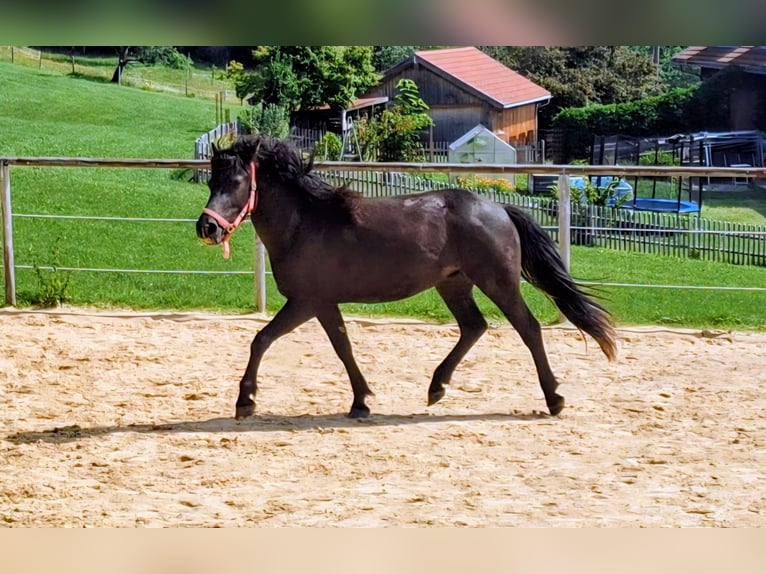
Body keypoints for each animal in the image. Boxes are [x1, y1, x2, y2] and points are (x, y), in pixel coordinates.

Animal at [196, 135, 617, 420]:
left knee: (527, 328)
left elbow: (262, 339)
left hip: (497, 282)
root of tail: (499, 208)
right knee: (474, 326)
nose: (206, 228)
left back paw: (554, 399)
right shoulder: (324, 303)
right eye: (211, 182)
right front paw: (361, 401)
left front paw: (245, 401)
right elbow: (343, 346)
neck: (305, 223)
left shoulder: (306, 301)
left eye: (236, 183)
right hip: (454, 283)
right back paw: (437, 388)